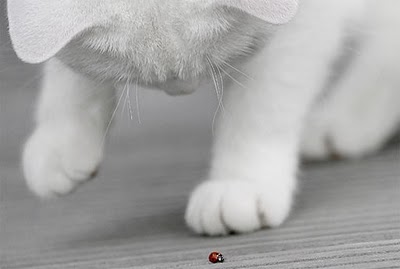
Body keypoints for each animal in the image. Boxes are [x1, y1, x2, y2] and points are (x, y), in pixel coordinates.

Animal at [7, 0, 400, 234]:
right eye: (145, 78)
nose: (181, 87)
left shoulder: (305, 20)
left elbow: (261, 103)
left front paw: (242, 183)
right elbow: (67, 71)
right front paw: (62, 140)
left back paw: (347, 119)